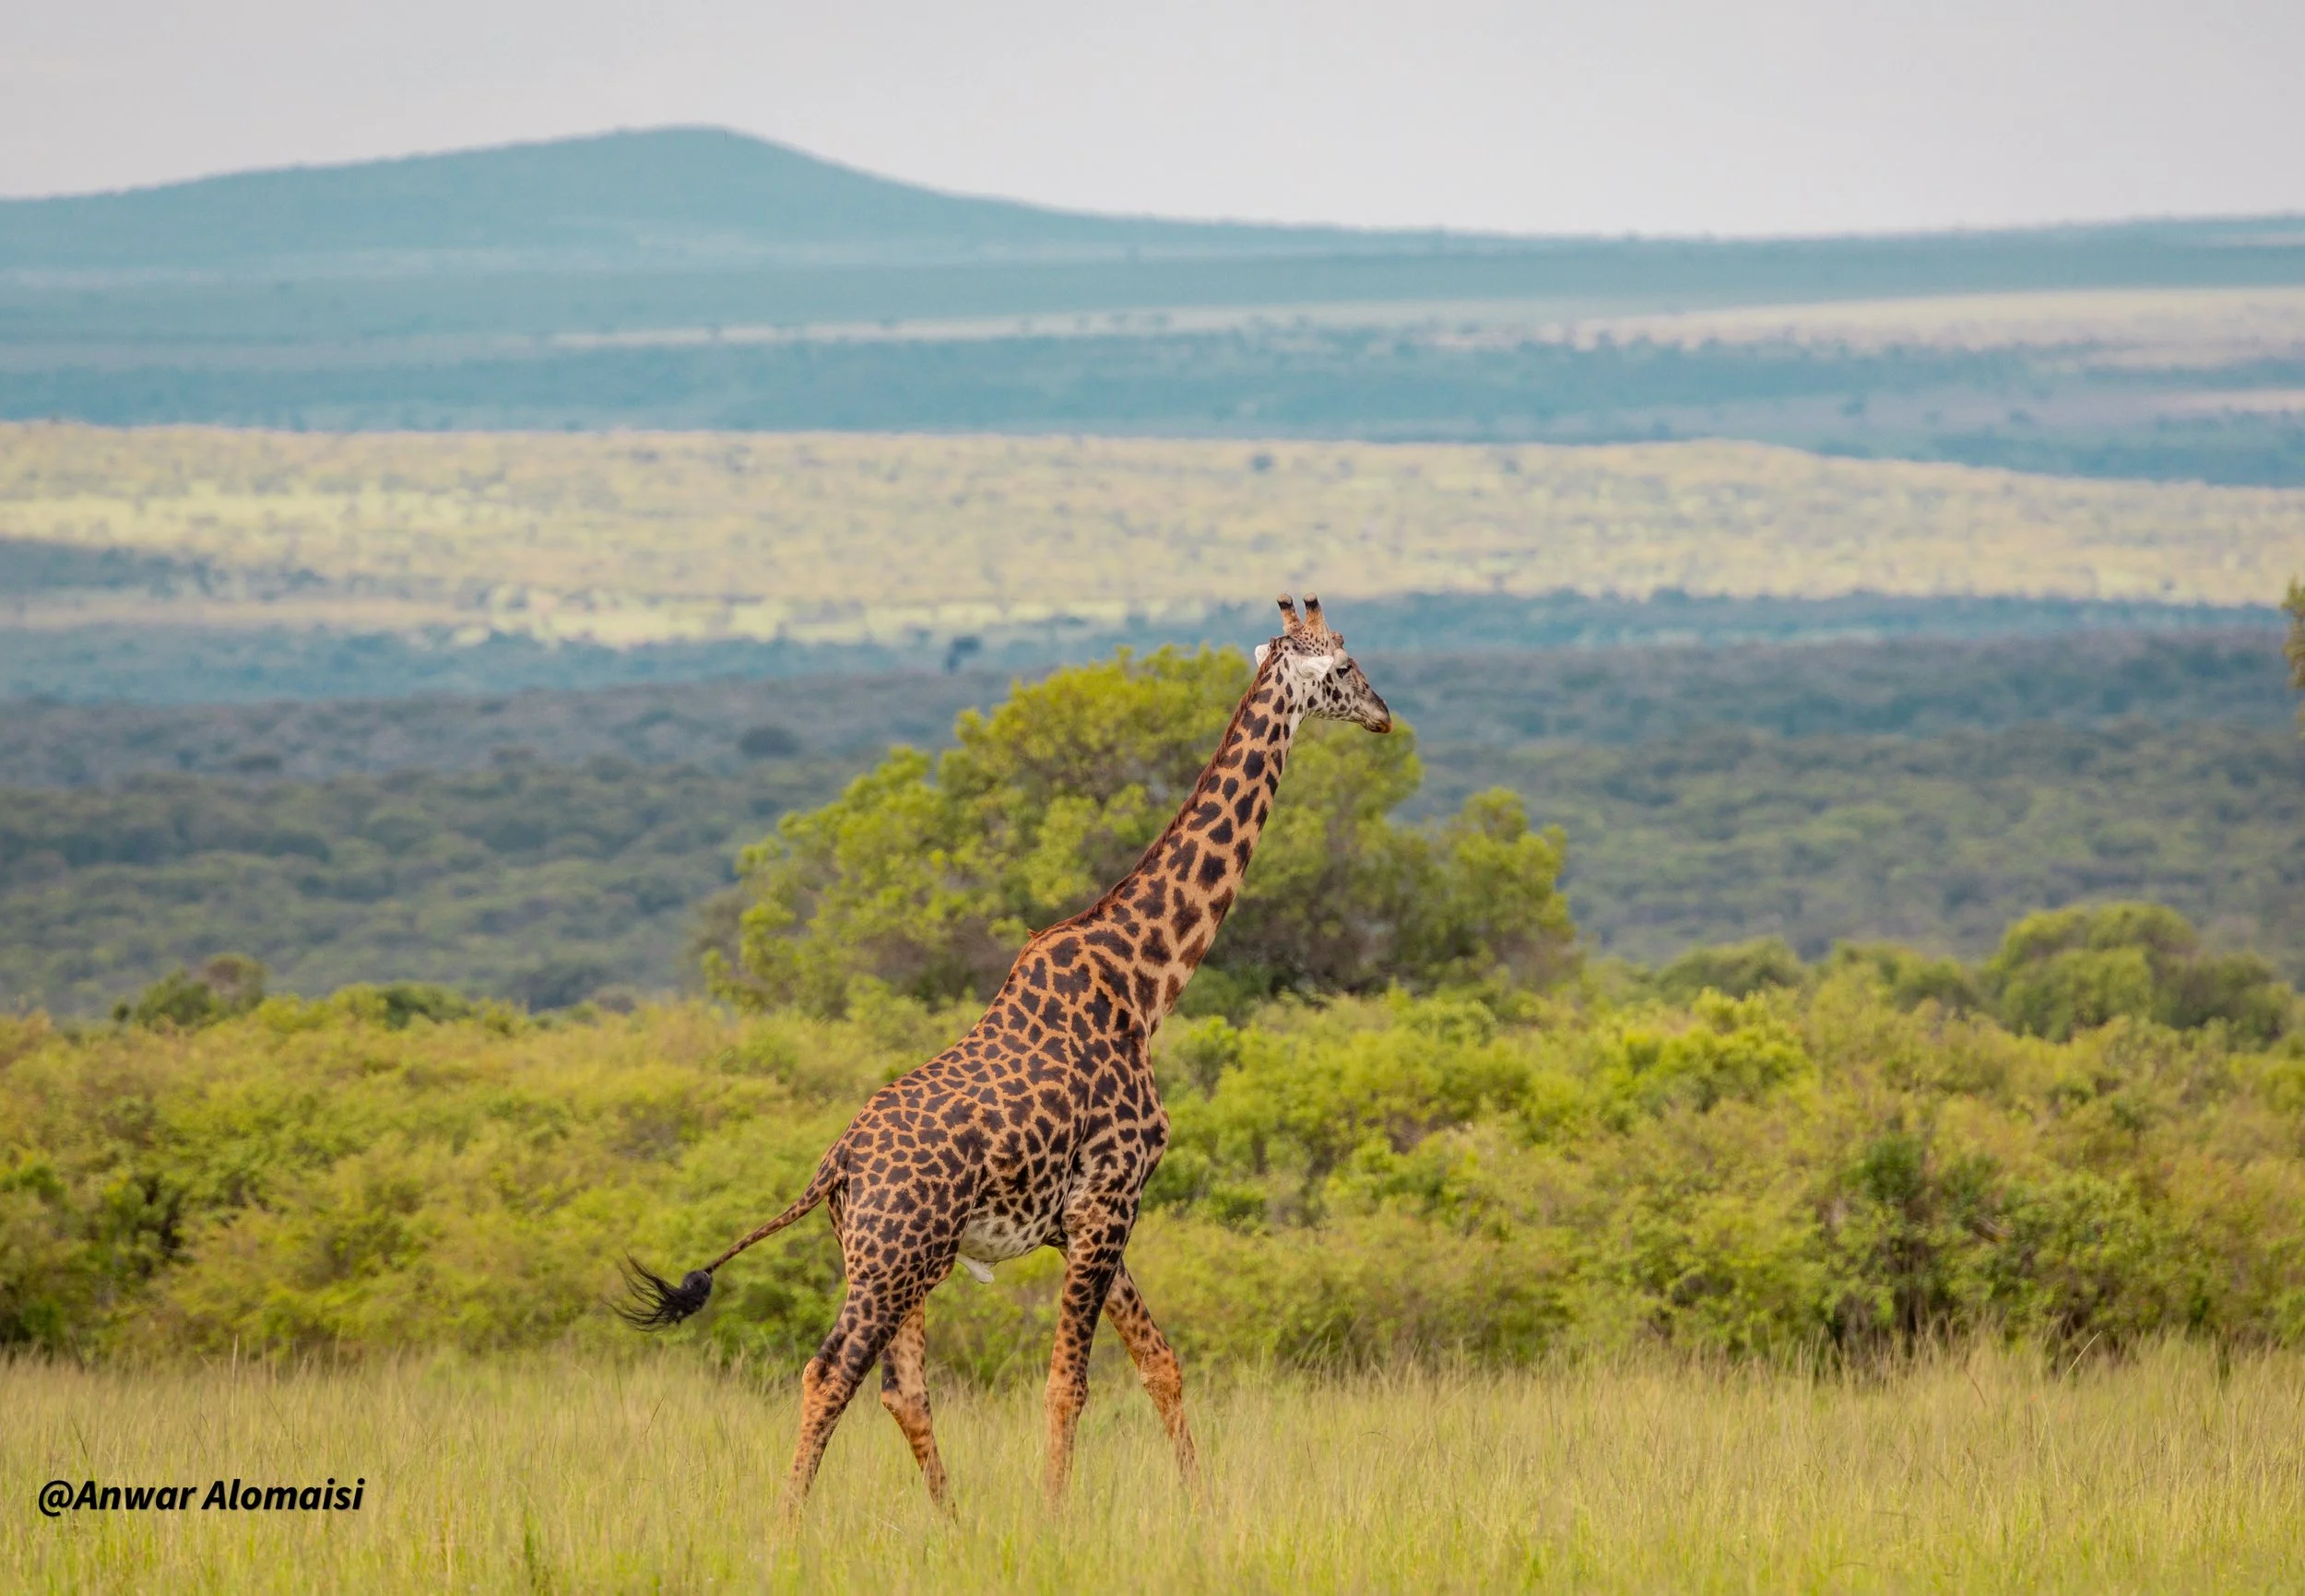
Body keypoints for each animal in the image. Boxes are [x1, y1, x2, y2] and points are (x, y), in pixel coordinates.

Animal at [620, 594, 1392, 1514]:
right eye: (1343, 666)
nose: (1385, 715)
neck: (1145, 987)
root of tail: (834, 1167)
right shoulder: (1109, 1201)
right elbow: (1070, 1383)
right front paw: (1053, 1517)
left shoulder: (1088, 1216)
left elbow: (1160, 1365)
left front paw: (1201, 1510)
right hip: (894, 1261)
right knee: (828, 1371)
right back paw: (786, 1527)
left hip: (899, 1262)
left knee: (901, 1387)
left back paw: (953, 1525)